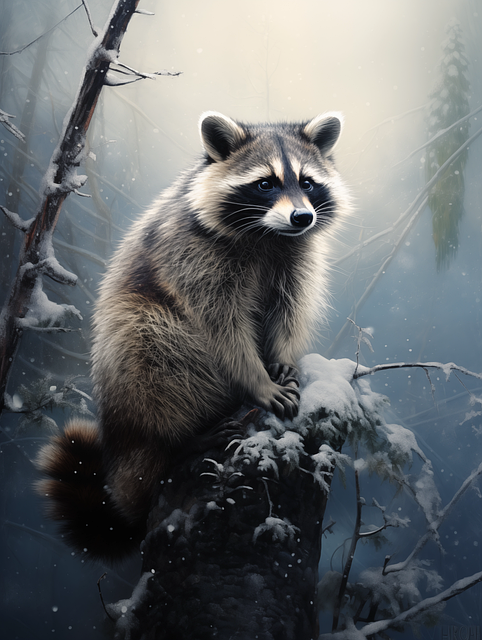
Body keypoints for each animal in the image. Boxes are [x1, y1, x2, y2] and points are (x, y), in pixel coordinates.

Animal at [36, 111, 349, 561]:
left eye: (307, 182)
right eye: (265, 184)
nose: (302, 218)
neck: (267, 234)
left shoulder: (296, 258)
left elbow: (288, 310)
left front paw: (282, 357)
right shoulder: (193, 255)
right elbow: (222, 329)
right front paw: (256, 379)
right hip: (132, 365)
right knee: (153, 344)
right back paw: (182, 438)